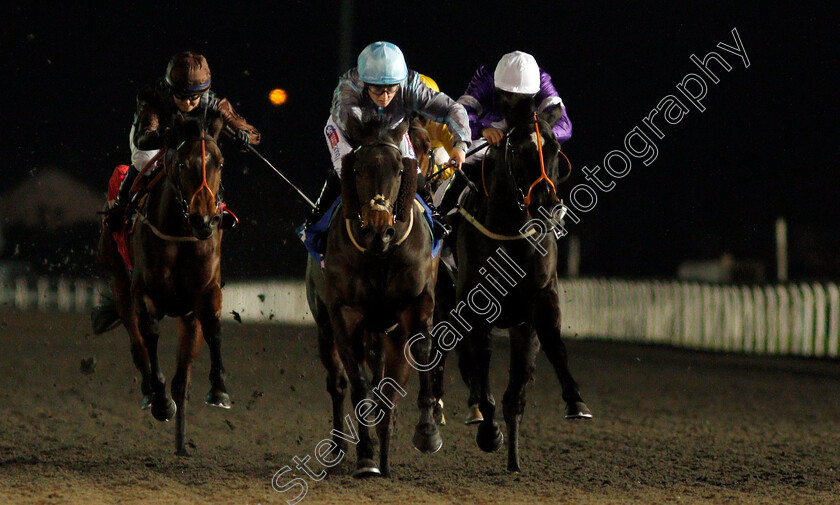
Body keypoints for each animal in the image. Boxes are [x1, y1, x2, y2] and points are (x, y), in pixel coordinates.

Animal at [97, 116, 230, 454]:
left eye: (220, 162)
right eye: (182, 164)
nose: (204, 220)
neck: (180, 234)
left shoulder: (205, 294)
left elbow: (213, 329)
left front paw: (219, 390)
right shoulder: (143, 294)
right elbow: (150, 336)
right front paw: (160, 400)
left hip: (186, 317)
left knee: (182, 377)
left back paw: (181, 444)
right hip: (119, 284)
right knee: (137, 344)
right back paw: (150, 392)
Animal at [306, 117, 440, 476]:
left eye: (399, 168)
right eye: (357, 168)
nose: (379, 230)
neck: (380, 255)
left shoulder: (414, 304)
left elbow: (416, 358)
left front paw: (426, 432)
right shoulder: (345, 313)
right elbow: (359, 384)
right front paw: (366, 456)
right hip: (325, 324)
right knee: (338, 382)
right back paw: (339, 446)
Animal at [446, 95, 592, 472]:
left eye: (555, 147)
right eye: (516, 149)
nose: (547, 206)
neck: (510, 237)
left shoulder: (538, 303)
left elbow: (550, 348)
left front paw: (575, 401)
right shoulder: (474, 311)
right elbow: (481, 371)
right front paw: (488, 432)